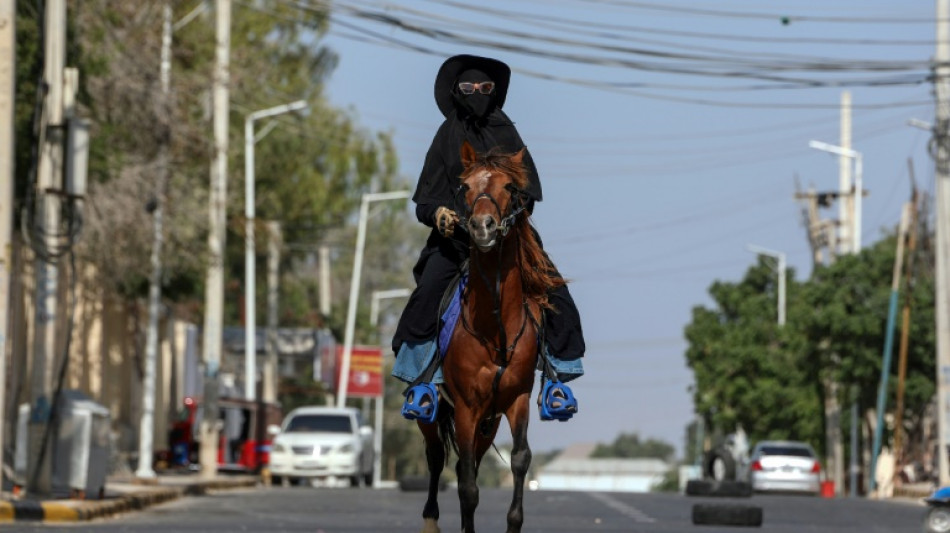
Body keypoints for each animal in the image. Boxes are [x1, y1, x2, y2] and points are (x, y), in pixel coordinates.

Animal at [416, 140, 564, 532]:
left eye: (510, 187)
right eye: (465, 186)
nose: (483, 227)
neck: (494, 327)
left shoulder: (516, 400)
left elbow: (519, 459)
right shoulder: (467, 406)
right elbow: (468, 487)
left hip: (488, 421)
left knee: (464, 463)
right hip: (435, 413)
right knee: (436, 457)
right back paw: (430, 521)